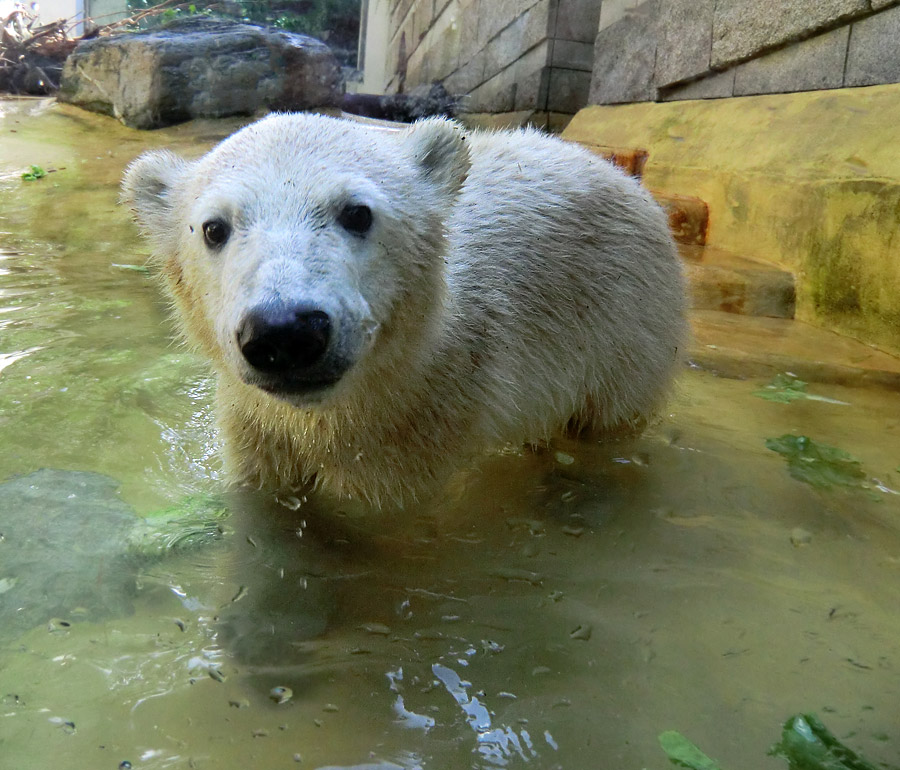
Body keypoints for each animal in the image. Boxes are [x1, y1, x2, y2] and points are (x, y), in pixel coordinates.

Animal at [123, 114, 684, 508]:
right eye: (213, 228)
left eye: (357, 213)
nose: (285, 331)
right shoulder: (256, 429)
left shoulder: (421, 425)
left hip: (624, 326)